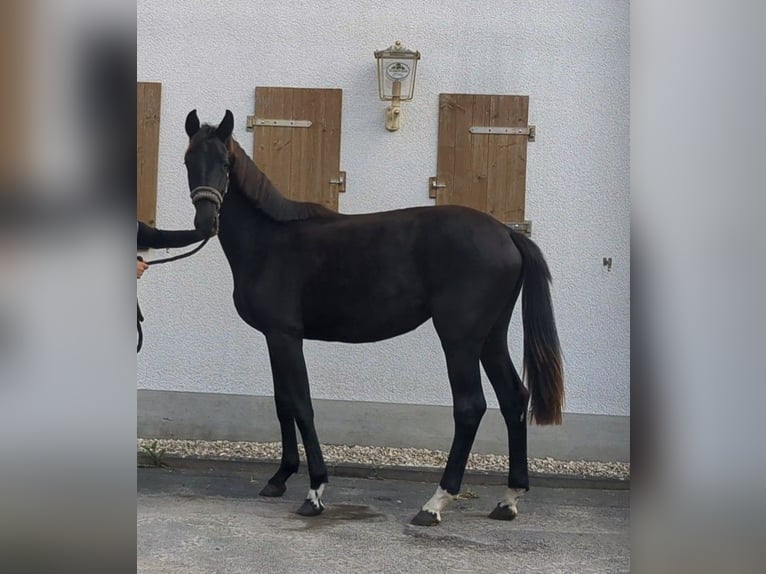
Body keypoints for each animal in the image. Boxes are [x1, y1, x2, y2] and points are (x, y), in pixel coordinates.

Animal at [183, 109, 564, 526]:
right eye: (188, 161)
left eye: (225, 163)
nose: (205, 222)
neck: (268, 242)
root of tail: (508, 236)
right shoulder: (273, 336)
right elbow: (283, 403)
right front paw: (279, 478)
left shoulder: (286, 336)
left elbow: (301, 404)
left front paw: (315, 491)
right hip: (490, 337)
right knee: (514, 398)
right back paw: (509, 498)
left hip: (459, 339)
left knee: (470, 407)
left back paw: (435, 503)